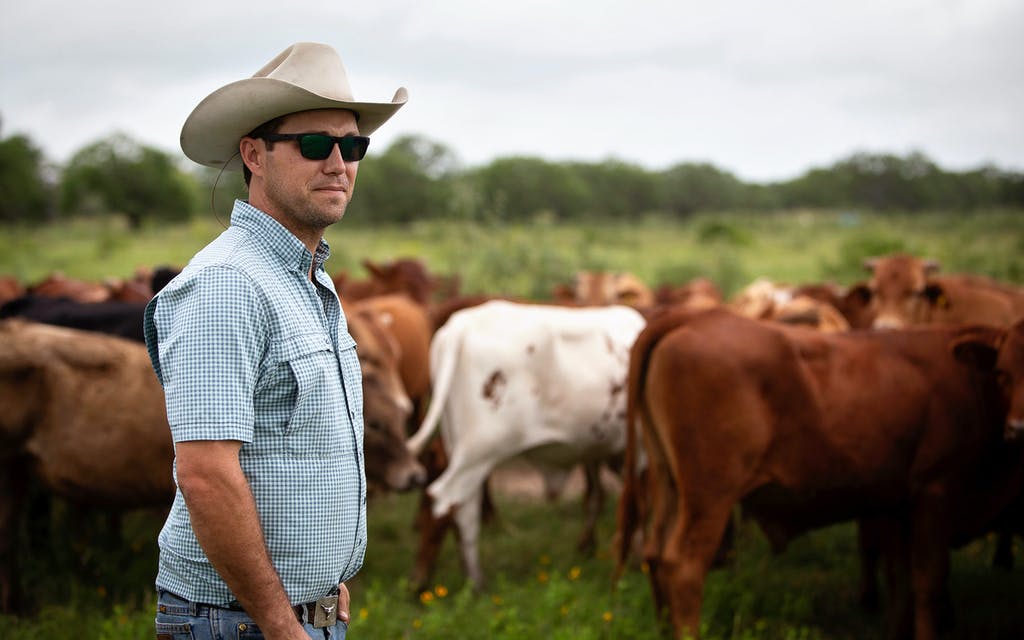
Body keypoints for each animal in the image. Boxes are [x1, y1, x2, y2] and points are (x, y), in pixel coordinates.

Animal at [403, 299, 643, 589]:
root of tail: (459, 326)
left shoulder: (597, 450)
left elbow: (597, 495)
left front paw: (590, 546)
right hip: (479, 451)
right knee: (442, 500)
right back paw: (433, 580)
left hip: (460, 448)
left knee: (464, 510)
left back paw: (472, 579)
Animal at [610, 307, 1019, 634]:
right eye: (1005, 372)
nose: (1019, 427)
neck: (971, 380)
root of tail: (694, 317)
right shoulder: (935, 493)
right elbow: (928, 583)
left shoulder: (899, 508)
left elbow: (903, 581)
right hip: (709, 498)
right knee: (683, 567)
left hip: (670, 484)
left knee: (654, 557)